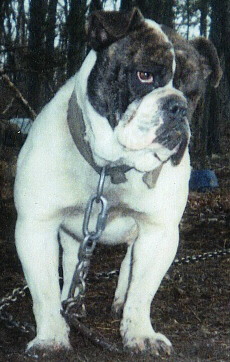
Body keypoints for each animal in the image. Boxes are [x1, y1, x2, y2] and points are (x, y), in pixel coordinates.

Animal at [13, 7, 221, 354]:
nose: (177, 106)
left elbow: (143, 291)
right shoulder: (35, 226)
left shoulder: (160, 232)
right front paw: (51, 337)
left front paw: (140, 334)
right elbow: (44, 292)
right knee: (73, 258)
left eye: (193, 93)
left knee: (128, 265)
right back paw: (73, 303)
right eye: (144, 75)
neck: (112, 167)